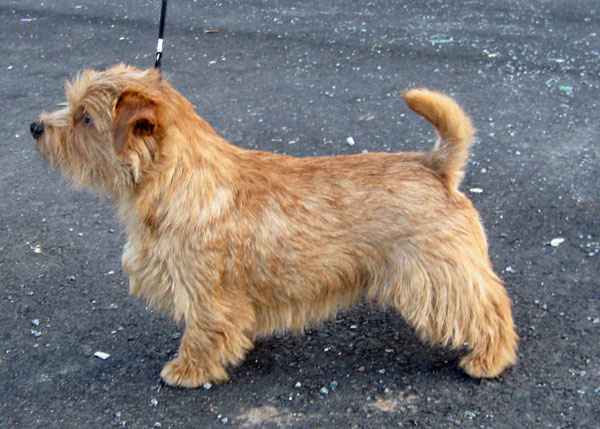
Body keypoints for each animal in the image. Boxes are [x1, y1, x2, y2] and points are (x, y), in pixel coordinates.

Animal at [30, 64, 516, 388]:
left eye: (85, 118)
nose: (35, 126)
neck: (179, 182)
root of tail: (435, 166)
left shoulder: (205, 291)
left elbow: (202, 331)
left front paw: (187, 370)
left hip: (440, 276)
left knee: (489, 309)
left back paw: (489, 359)